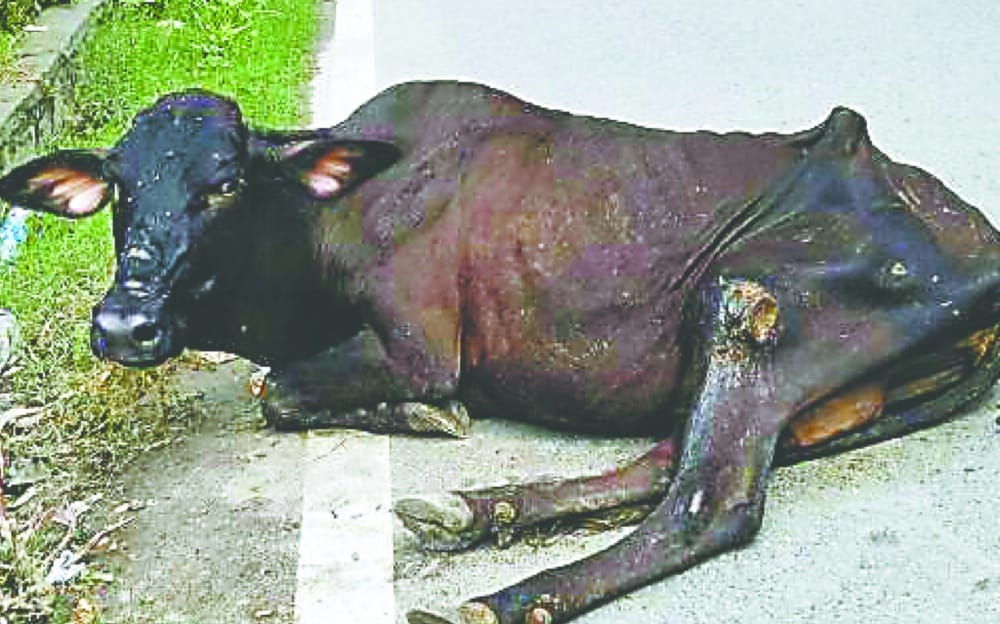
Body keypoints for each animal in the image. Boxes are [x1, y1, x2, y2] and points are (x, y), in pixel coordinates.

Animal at [0, 81, 997, 624]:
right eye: (119, 187)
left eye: (226, 182)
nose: (123, 325)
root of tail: (974, 232)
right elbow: (274, 389)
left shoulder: (419, 345)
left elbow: (277, 389)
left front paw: (429, 414)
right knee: (668, 460)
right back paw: (481, 512)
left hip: (754, 300)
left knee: (711, 501)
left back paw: (506, 596)